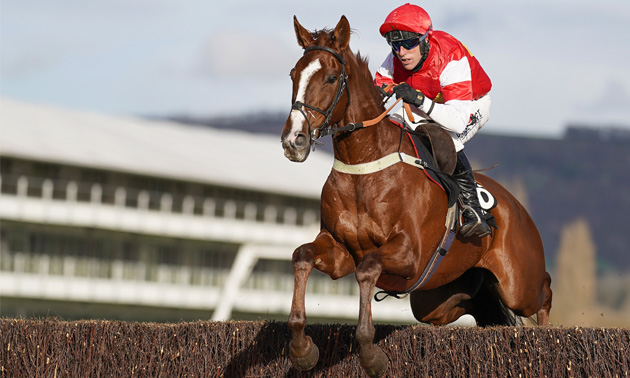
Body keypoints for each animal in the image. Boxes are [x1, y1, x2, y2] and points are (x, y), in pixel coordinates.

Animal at [282, 15, 552, 378]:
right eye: (293, 75)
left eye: (331, 77)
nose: (294, 140)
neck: (363, 167)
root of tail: (518, 208)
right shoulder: (339, 251)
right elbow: (302, 256)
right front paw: (302, 349)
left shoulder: (409, 254)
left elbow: (368, 267)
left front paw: (371, 354)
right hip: (440, 299)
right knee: (481, 310)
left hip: (518, 285)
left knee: (545, 290)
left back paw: (546, 335)